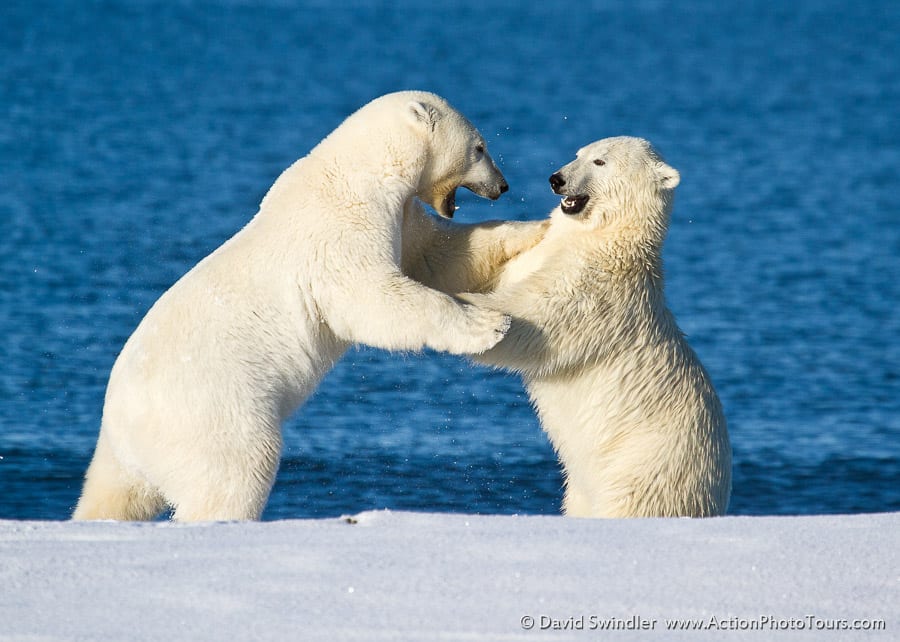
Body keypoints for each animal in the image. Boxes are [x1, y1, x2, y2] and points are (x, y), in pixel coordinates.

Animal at [74, 90, 544, 520]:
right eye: (480, 147)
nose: (503, 186)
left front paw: (536, 228)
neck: (360, 171)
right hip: (213, 412)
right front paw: (489, 324)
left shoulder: (399, 217)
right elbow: (374, 298)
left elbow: (439, 254)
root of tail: (123, 420)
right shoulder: (342, 229)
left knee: (110, 496)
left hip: (122, 457)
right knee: (237, 470)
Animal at [414, 138, 732, 516]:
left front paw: (455, 307)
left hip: (647, 469)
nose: (557, 179)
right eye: (579, 153)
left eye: (600, 161)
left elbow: (535, 318)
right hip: (585, 487)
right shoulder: (542, 256)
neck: (605, 237)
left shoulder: (600, 287)